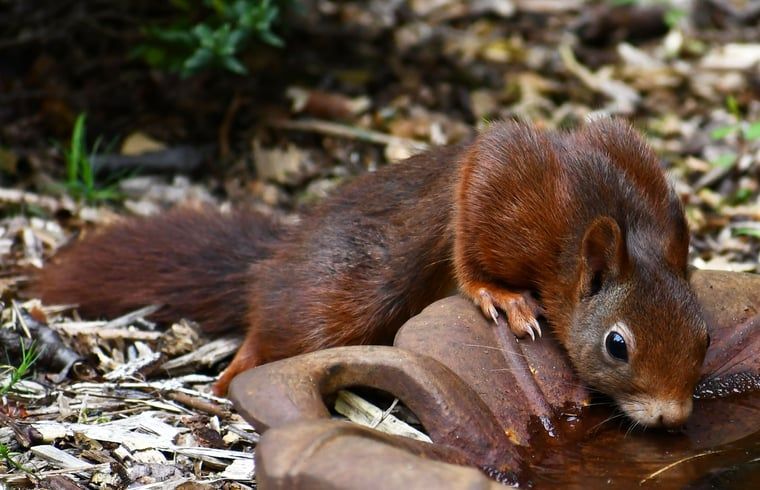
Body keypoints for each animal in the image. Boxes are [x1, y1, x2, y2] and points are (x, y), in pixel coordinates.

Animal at [33, 118, 709, 428]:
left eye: (704, 338)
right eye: (617, 345)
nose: (673, 418)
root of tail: (276, 261)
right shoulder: (507, 183)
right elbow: (470, 237)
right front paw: (502, 297)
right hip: (343, 299)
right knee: (279, 326)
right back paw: (235, 370)